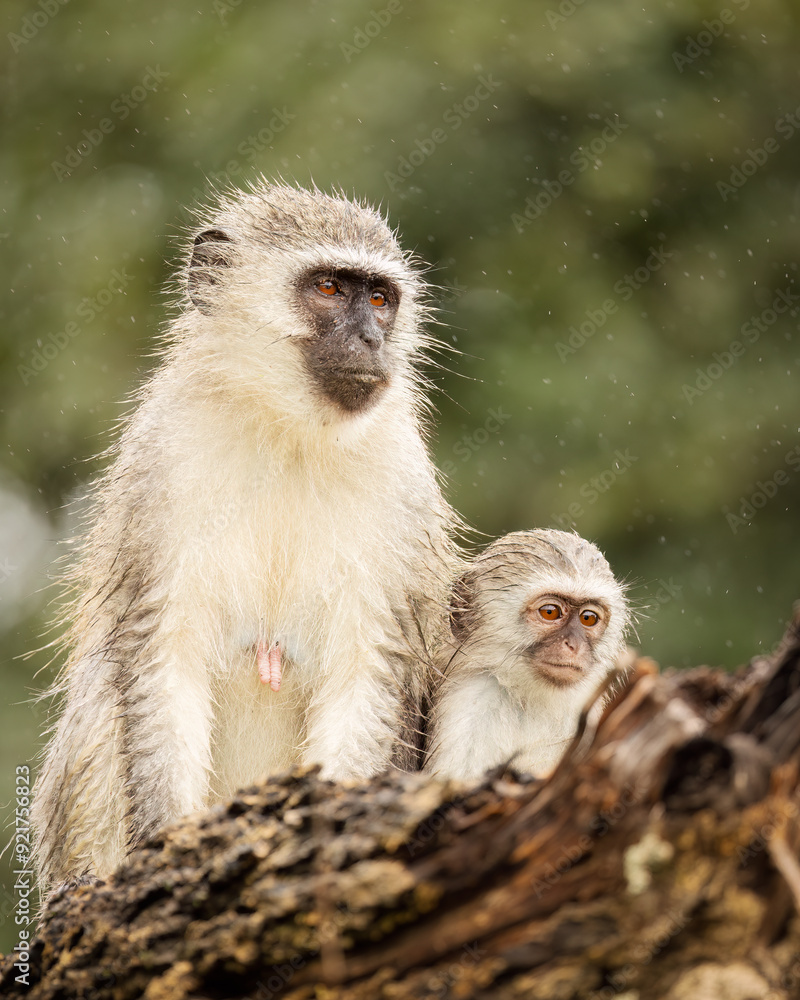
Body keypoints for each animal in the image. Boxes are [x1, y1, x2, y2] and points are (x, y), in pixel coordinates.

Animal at [31, 180, 462, 893]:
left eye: (379, 298)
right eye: (329, 288)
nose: (373, 339)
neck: (288, 429)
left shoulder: (403, 485)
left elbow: (368, 666)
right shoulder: (163, 459)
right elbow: (161, 650)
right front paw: (166, 852)